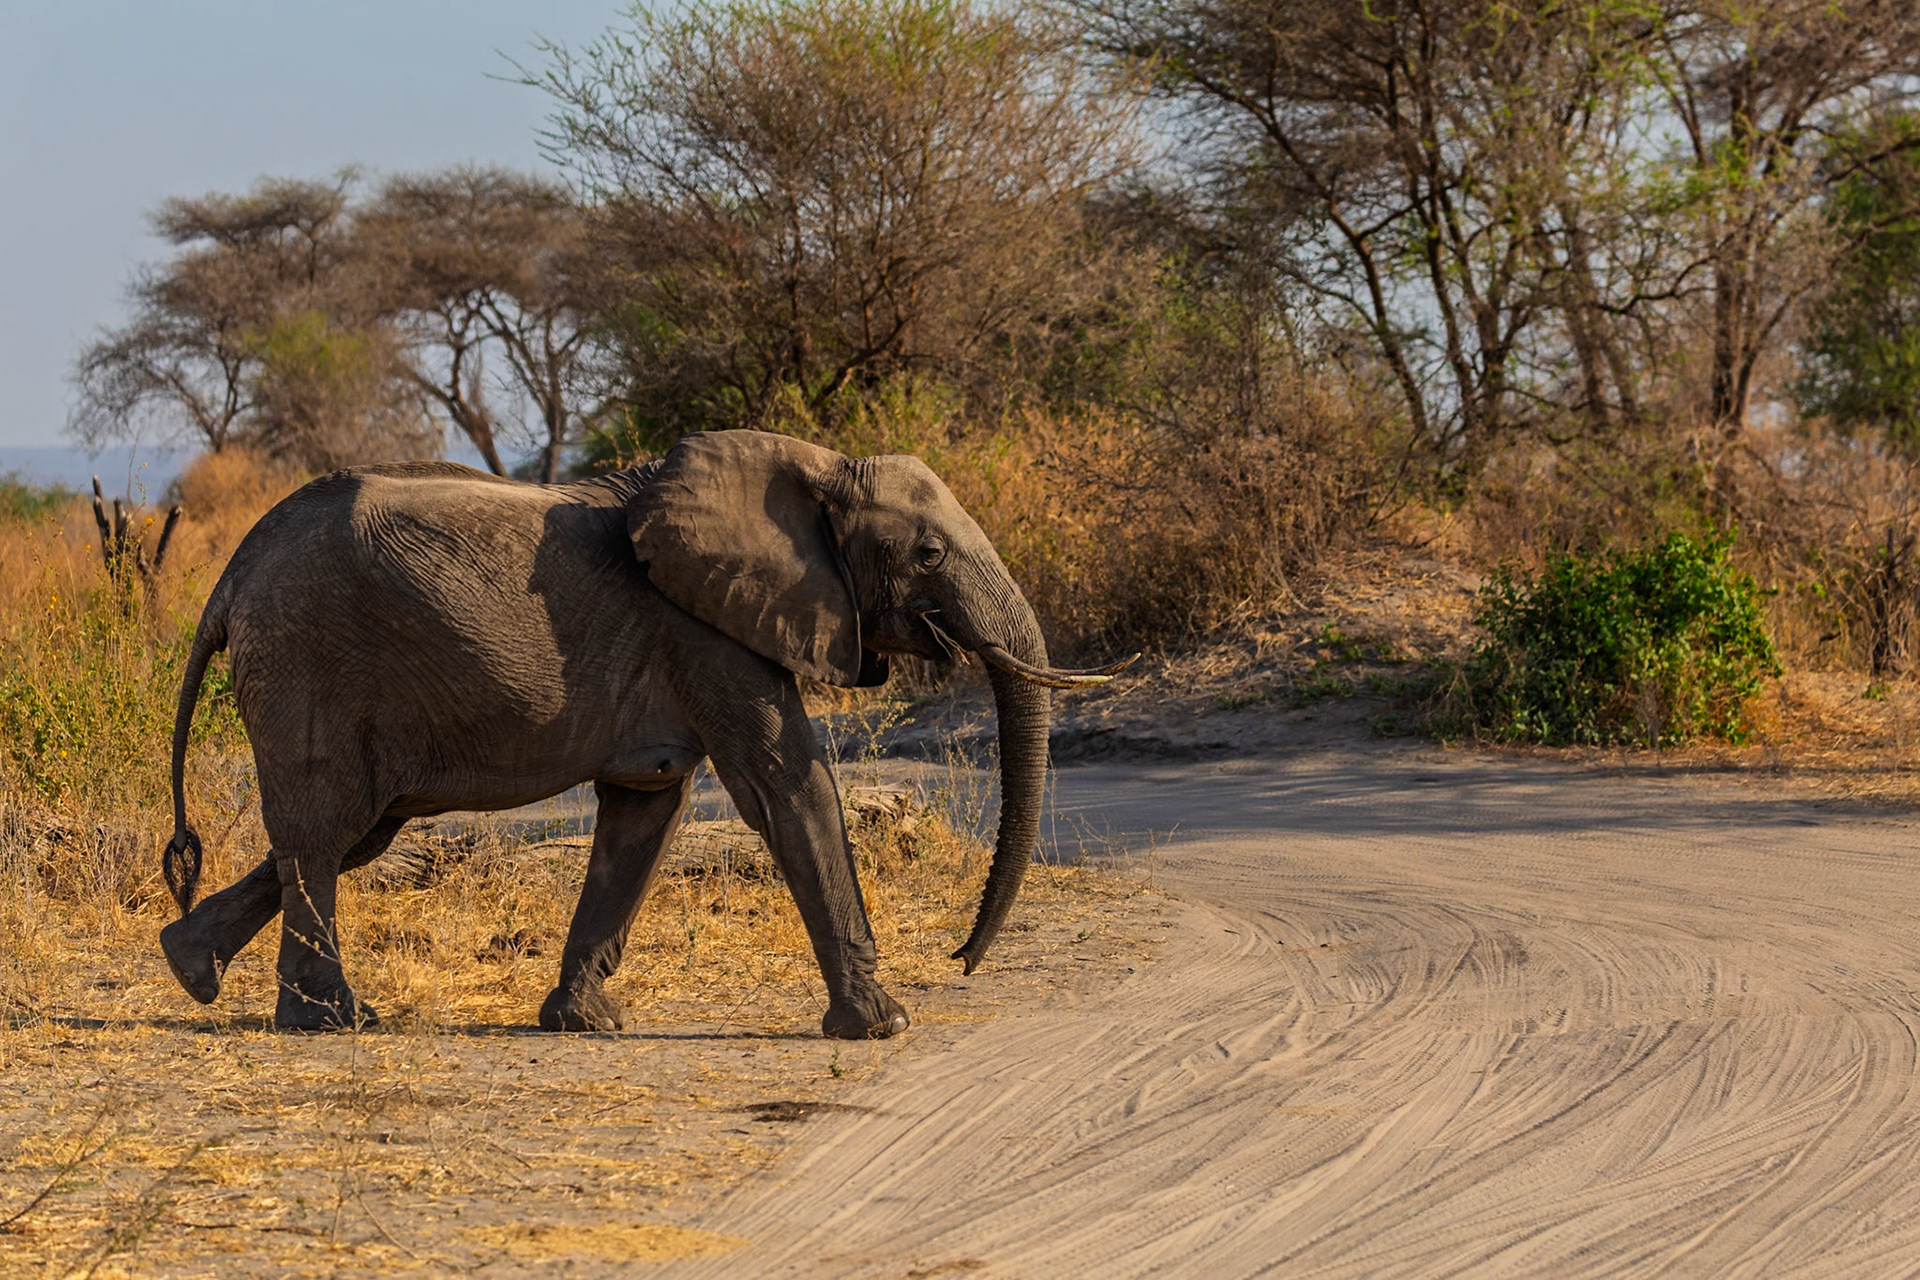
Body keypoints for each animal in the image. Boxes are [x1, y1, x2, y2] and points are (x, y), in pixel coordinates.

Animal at [155, 429, 1129, 1037]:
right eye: (928, 554)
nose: (960, 959)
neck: (815, 465)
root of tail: (229, 578)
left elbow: (646, 811)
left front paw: (586, 1025)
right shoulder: (706, 627)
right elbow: (788, 785)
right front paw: (883, 1025)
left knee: (354, 835)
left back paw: (191, 968)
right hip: (308, 658)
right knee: (326, 834)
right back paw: (332, 1021)